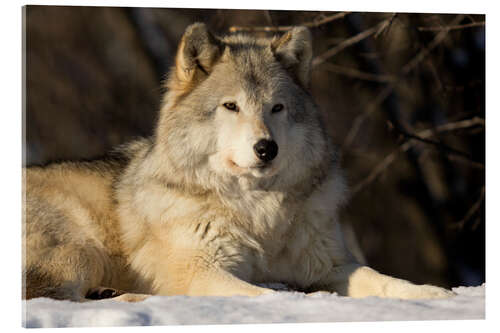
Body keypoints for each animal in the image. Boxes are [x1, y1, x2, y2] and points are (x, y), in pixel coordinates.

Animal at [22, 22, 454, 300]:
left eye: (277, 108)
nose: (266, 148)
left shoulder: (330, 265)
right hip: (80, 250)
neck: (257, 213)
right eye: (231, 106)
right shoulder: (202, 270)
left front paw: (436, 297)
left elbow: (384, 280)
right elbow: (267, 297)